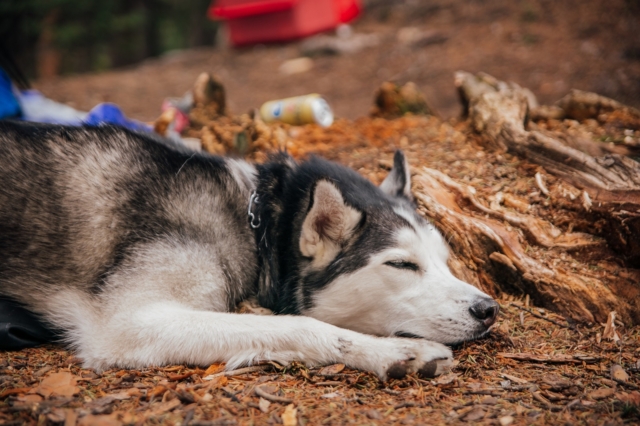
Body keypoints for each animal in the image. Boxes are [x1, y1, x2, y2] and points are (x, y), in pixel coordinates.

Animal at [0, 121, 498, 382]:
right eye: (401, 264)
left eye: (444, 261)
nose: (488, 309)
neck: (253, 225)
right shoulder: (129, 322)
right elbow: (302, 325)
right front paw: (394, 352)